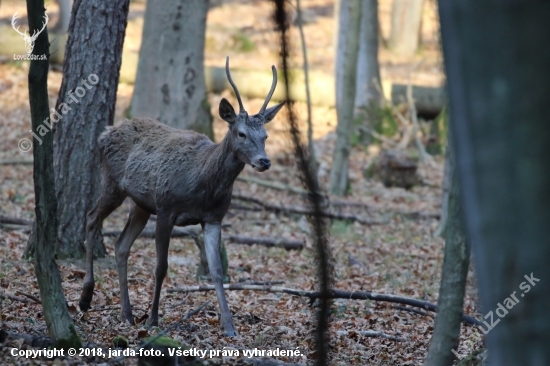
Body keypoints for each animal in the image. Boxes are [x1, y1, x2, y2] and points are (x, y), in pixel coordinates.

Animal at [78, 55, 284, 336]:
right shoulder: (166, 208)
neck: (204, 185)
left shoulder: (214, 218)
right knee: (90, 218)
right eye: (241, 133)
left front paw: (229, 326)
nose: (264, 161)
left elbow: (216, 270)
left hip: (141, 204)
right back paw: (85, 298)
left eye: (265, 135)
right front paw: (153, 319)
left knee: (121, 245)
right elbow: (160, 267)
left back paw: (127, 314)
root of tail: (105, 132)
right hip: (112, 184)